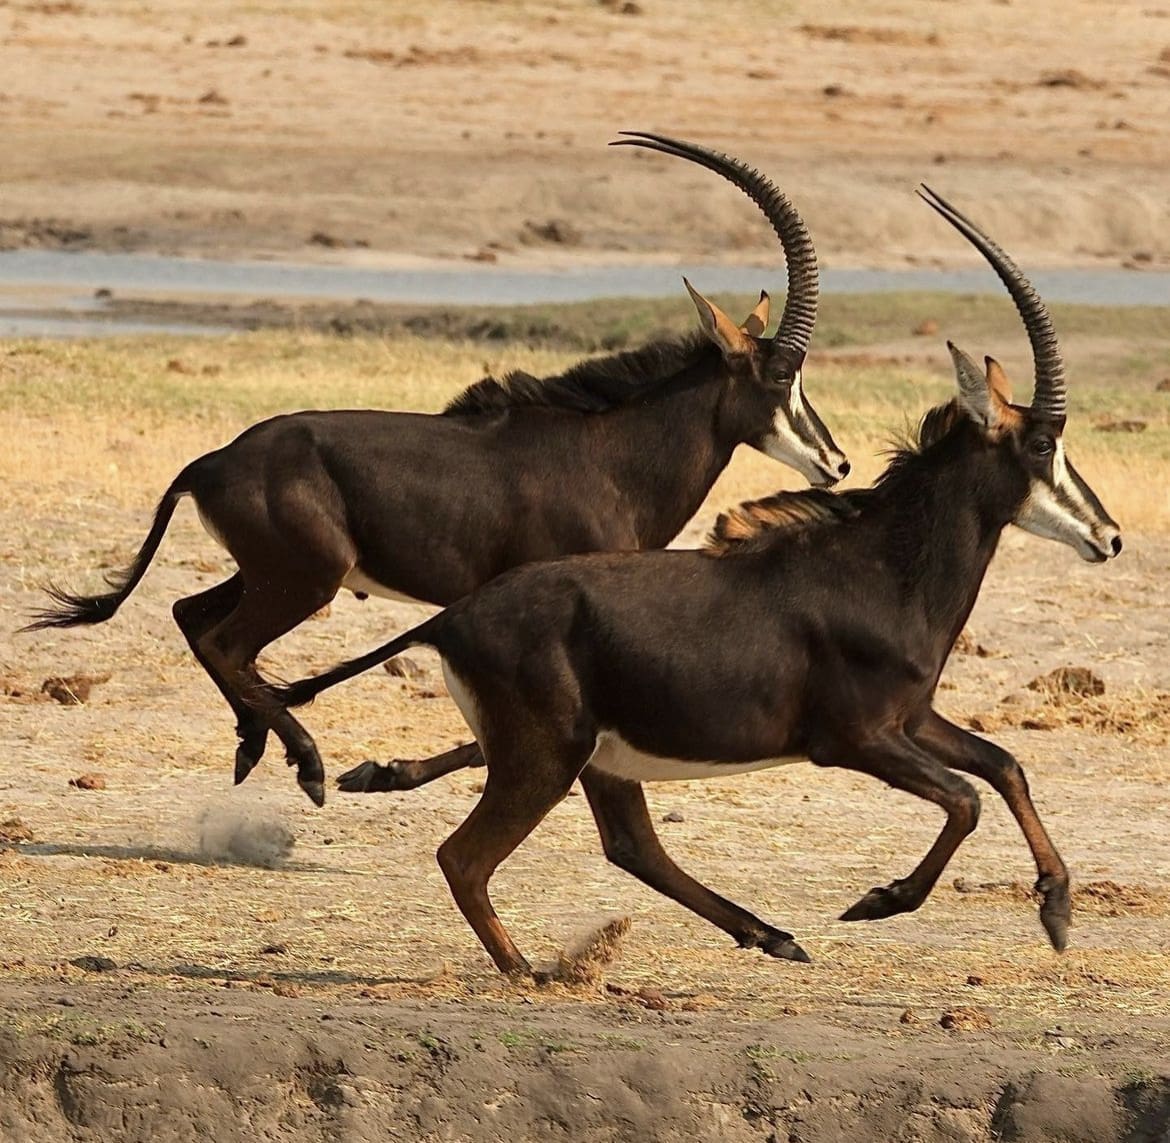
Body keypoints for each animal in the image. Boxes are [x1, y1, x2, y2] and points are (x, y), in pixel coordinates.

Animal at [25, 133, 851, 809]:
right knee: (227, 641)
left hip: (267, 573)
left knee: (192, 616)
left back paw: (254, 746)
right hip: (306, 579)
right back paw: (308, 764)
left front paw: (379, 770)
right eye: (782, 376)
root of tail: (212, 460)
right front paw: (376, 771)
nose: (836, 462)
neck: (609, 453)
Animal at [273, 187, 1123, 973]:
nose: (1109, 536)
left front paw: (1056, 909)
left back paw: (768, 935)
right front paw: (881, 900)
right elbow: (967, 797)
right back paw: (532, 970)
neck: (883, 565)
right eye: (1041, 444)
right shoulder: (856, 737)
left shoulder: (913, 718)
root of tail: (454, 618)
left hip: (592, 758)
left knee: (627, 844)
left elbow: (1005, 766)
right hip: (552, 755)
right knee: (468, 855)